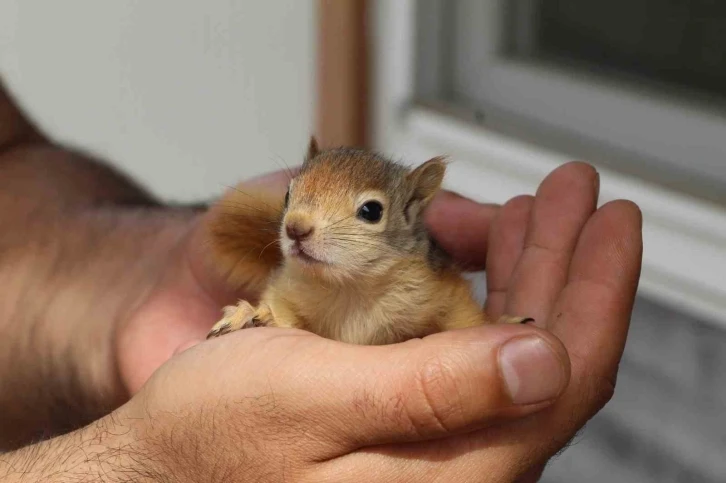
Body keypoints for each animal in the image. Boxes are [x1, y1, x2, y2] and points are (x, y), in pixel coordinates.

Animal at [208, 138, 532, 346]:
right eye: (287, 195)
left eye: (372, 211)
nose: (296, 228)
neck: (350, 286)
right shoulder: (286, 291)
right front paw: (250, 315)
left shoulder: (444, 292)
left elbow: (466, 320)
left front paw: (502, 324)